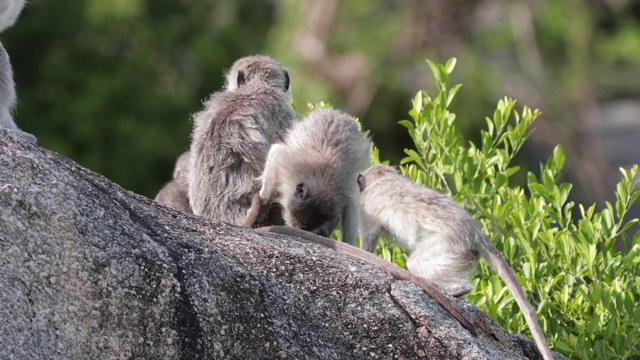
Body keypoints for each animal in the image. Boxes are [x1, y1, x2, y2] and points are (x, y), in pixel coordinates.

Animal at [356, 165, 556, 360]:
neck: (383, 178)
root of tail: (476, 233)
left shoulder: (367, 208)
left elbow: (369, 237)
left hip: (449, 247)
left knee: (416, 263)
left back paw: (455, 290)